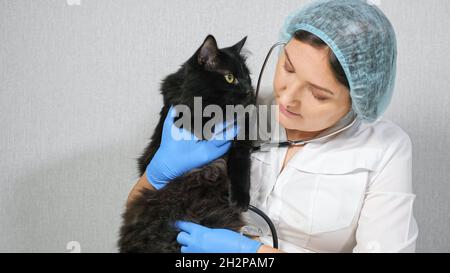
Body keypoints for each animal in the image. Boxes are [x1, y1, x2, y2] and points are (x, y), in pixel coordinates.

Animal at [118, 35, 255, 252]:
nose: (250, 90)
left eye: (248, 76)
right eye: (230, 78)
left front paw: (240, 199)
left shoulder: (241, 145)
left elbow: (241, 169)